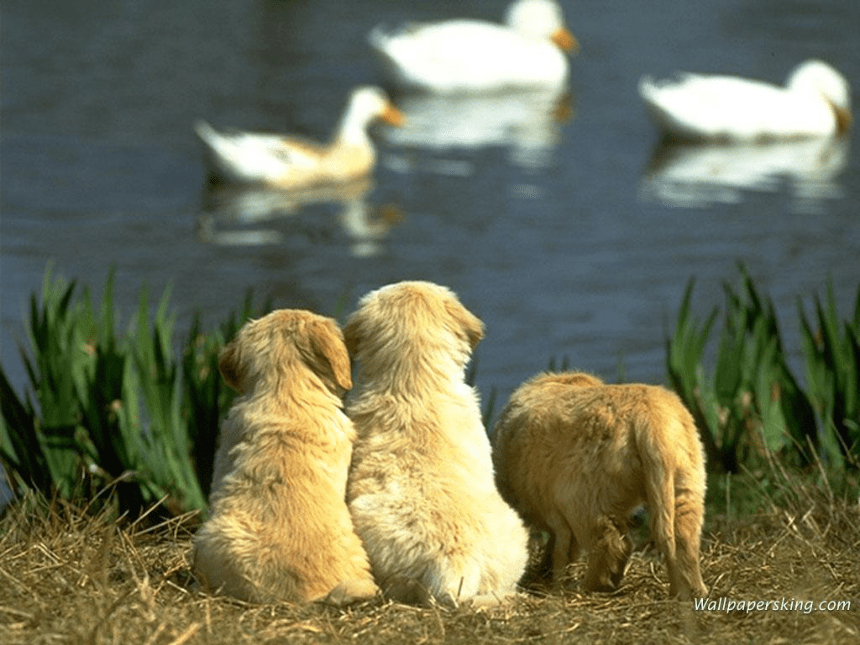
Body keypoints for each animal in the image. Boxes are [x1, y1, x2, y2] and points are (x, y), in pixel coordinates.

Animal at [490, 372, 704, 600]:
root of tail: (651, 421)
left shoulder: (555, 509)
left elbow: (561, 549)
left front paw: (553, 582)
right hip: (685, 483)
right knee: (684, 539)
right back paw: (689, 592)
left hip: (586, 498)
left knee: (612, 544)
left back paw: (590, 587)